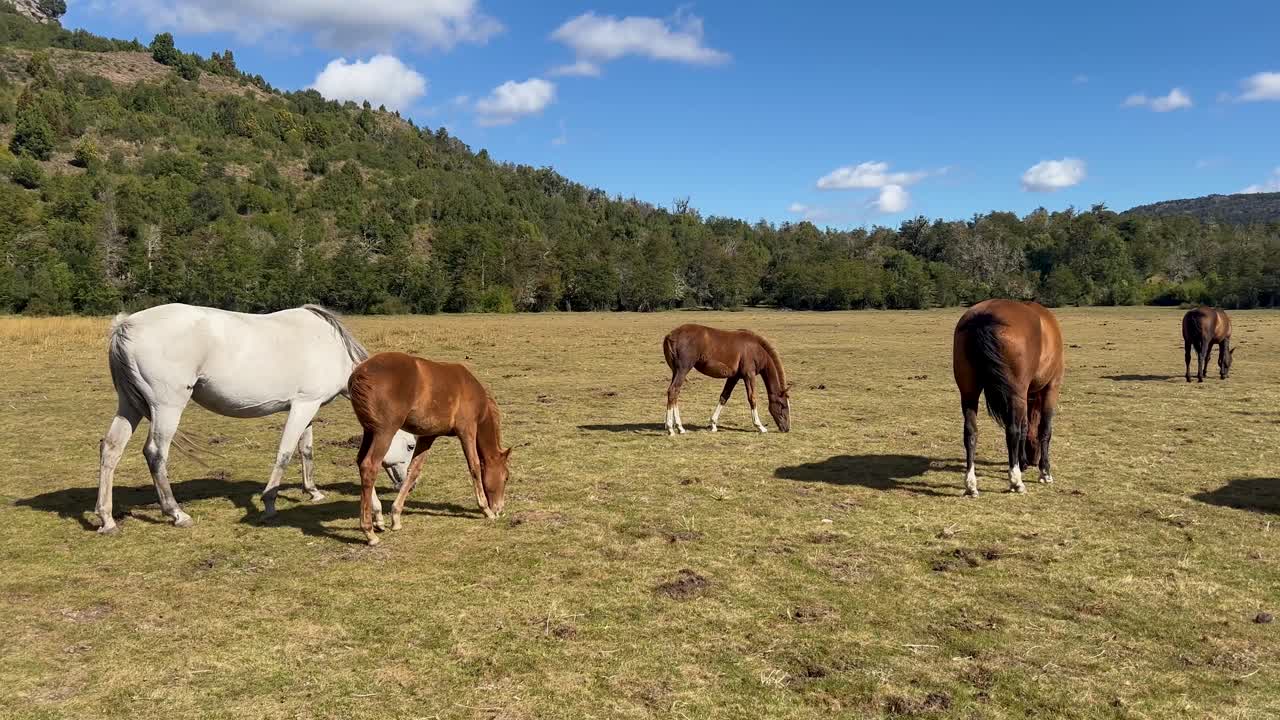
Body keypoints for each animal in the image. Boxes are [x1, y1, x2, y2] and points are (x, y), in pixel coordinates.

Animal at [96, 303, 416, 533]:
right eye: (411, 445)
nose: (407, 485)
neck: (331, 349)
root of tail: (126, 325)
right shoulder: (302, 406)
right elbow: (285, 453)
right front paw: (270, 503)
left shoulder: (308, 408)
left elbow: (306, 450)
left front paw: (312, 492)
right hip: (166, 407)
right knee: (156, 454)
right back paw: (176, 513)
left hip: (130, 406)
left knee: (111, 449)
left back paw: (106, 519)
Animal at [347, 352, 512, 545]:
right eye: (506, 477)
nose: (500, 508)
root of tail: (360, 372)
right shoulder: (467, 430)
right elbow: (475, 466)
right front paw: (486, 510)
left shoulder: (428, 436)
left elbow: (413, 471)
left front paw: (396, 517)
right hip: (384, 432)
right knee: (369, 466)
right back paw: (369, 532)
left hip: (369, 431)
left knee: (360, 462)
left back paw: (377, 519)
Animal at [662, 324, 791, 435]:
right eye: (783, 405)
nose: (787, 428)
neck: (756, 348)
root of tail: (671, 335)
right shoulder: (749, 375)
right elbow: (752, 398)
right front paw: (760, 426)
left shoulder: (734, 377)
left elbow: (724, 396)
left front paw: (713, 425)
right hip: (683, 370)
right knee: (673, 391)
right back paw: (672, 429)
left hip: (676, 372)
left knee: (674, 393)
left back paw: (678, 427)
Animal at [952, 299, 1064, 496]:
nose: (1033, 460)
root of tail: (984, 316)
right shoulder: (1051, 387)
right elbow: (1044, 429)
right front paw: (1044, 471)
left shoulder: (1024, 395)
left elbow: (1025, 425)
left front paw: (1023, 461)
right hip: (1015, 393)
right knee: (1012, 431)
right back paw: (1016, 481)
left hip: (969, 393)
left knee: (970, 432)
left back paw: (971, 484)